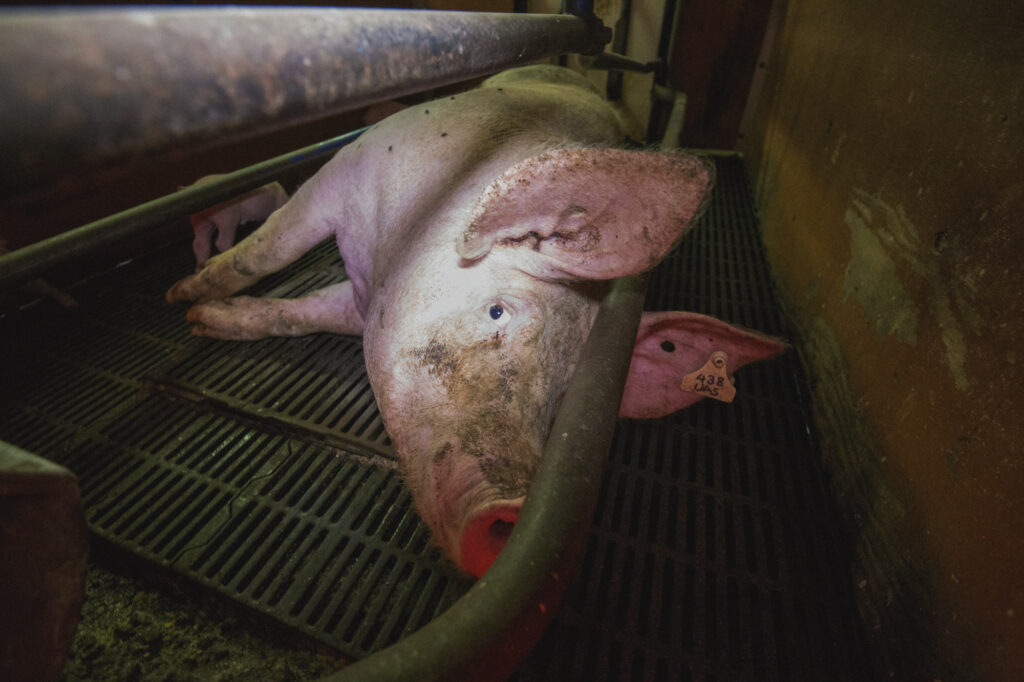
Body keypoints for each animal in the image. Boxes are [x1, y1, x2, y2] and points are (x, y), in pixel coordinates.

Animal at [166, 66, 784, 578]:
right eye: (496, 311)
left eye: (567, 394)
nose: (511, 509)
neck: (401, 239)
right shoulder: (344, 171)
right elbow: (265, 251)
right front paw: (184, 298)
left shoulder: (366, 305)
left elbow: (298, 313)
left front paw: (201, 320)